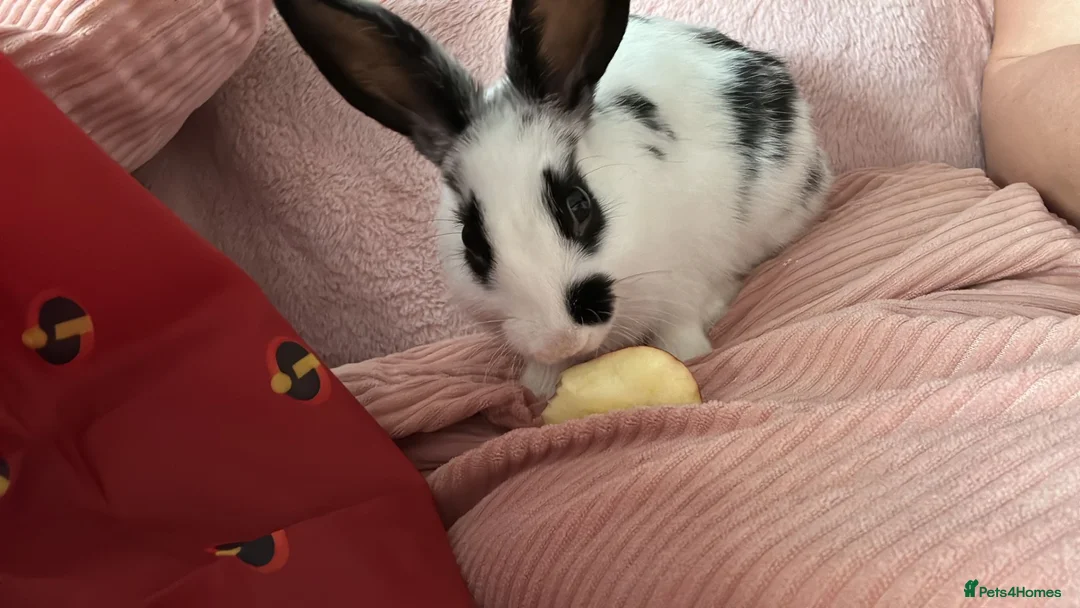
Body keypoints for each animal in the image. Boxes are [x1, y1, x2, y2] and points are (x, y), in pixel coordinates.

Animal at [274, 0, 831, 398]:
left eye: (580, 206)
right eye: (470, 240)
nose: (559, 337)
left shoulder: (680, 287)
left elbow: (681, 333)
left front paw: (692, 356)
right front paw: (538, 386)